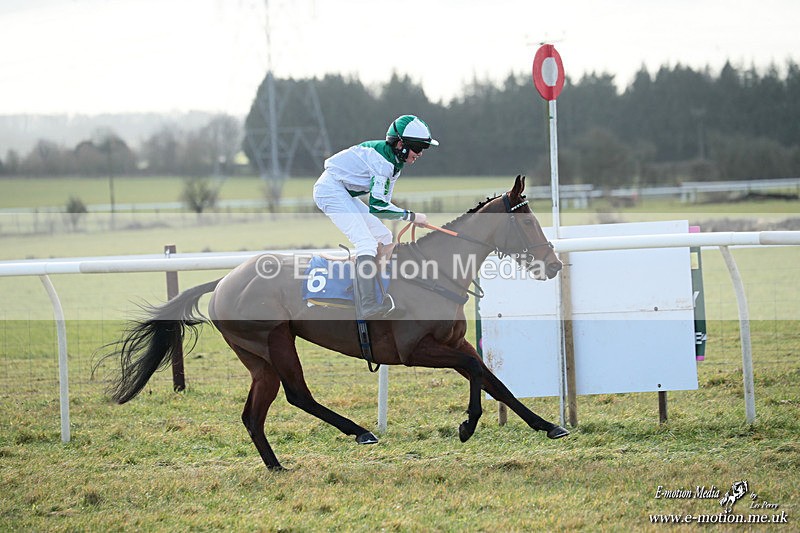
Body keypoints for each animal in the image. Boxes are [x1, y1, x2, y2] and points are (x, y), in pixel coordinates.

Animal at [100, 175, 568, 471]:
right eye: (527, 220)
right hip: (274, 341)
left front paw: (548, 426)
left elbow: (493, 379)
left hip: (258, 357)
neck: (434, 272)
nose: (553, 264)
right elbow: (474, 372)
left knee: (254, 414)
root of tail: (224, 281)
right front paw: (467, 425)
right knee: (297, 395)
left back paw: (276, 466)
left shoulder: (454, 343)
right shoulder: (414, 351)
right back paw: (360, 432)